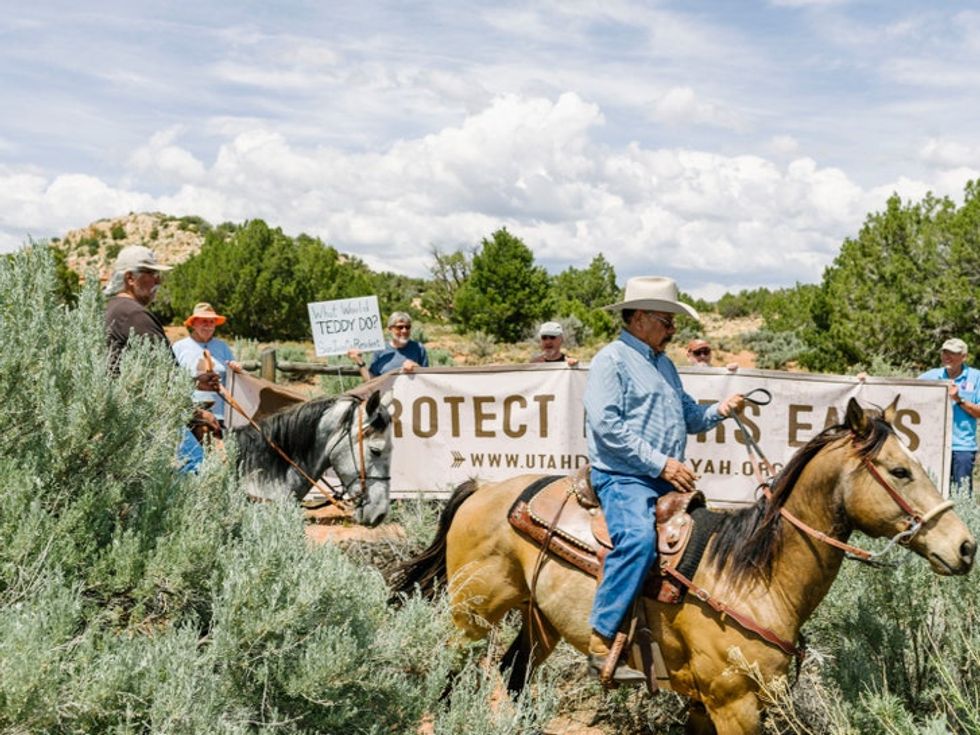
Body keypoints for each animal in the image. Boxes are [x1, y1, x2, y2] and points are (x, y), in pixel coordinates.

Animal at [388, 400, 972, 732]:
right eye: (899, 470)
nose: (965, 546)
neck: (751, 577)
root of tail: (483, 489)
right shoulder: (734, 703)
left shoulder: (702, 702)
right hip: (471, 614)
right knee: (446, 672)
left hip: (539, 620)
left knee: (512, 676)